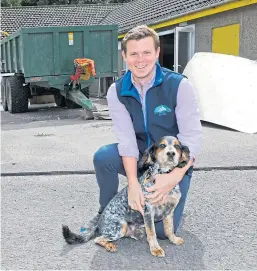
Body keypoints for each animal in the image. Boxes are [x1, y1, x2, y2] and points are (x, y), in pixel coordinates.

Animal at [62, 137, 190, 258]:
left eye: (177, 146)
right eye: (162, 145)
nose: (171, 153)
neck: (162, 175)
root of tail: (99, 224)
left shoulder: (169, 211)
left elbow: (169, 229)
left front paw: (174, 239)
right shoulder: (148, 212)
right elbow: (152, 232)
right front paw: (155, 249)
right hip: (120, 227)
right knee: (98, 239)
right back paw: (110, 245)